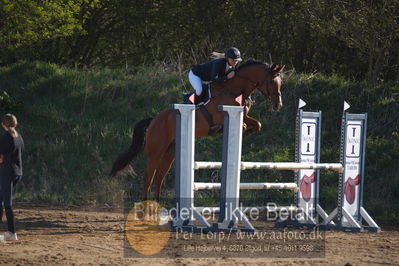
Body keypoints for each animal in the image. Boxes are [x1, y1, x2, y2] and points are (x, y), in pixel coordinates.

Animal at [109, 60, 284, 202]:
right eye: (272, 82)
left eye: (280, 83)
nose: (278, 105)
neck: (234, 89)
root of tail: (154, 120)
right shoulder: (221, 116)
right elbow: (243, 126)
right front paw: (236, 131)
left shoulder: (244, 116)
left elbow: (257, 124)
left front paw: (246, 133)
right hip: (156, 150)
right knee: (148, 177)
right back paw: (145, 208)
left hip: (171, 151)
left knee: (159, 176)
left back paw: (157, 206)